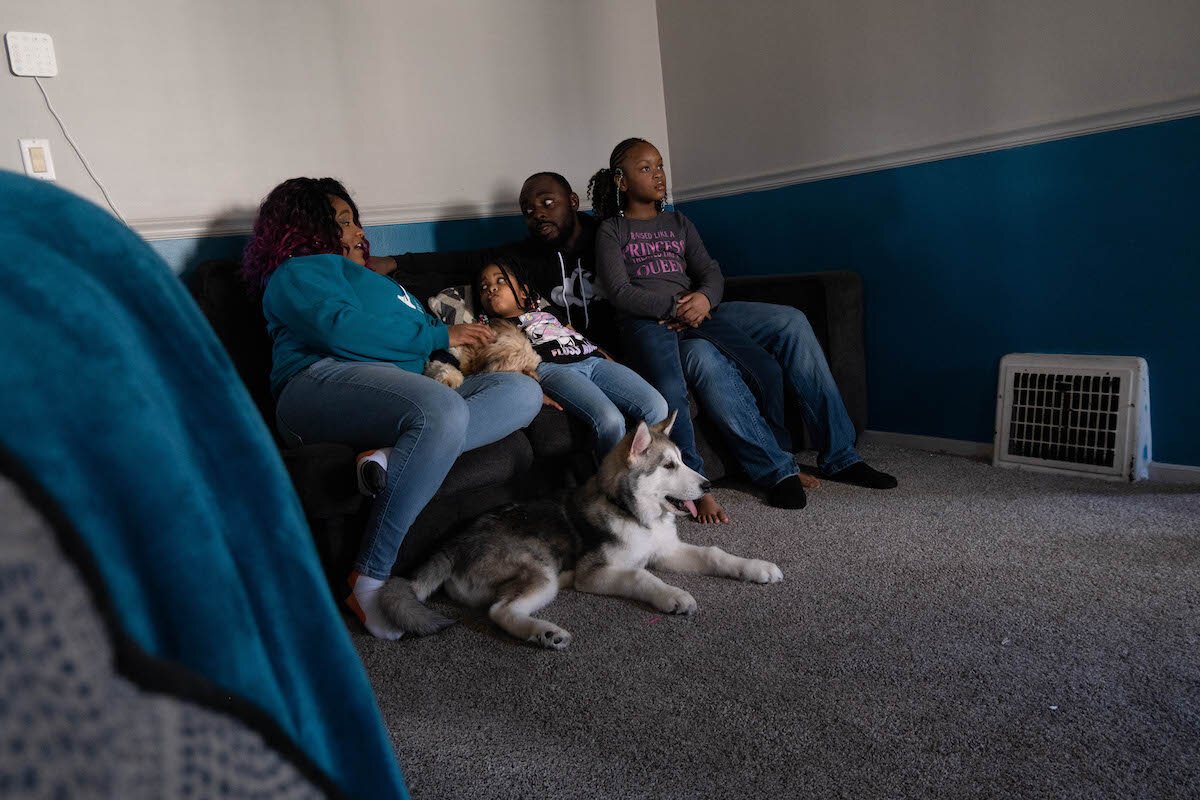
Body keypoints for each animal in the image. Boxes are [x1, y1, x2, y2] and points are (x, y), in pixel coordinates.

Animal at [379, 412, 782, 652]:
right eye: (668, 465)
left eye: (682, 461)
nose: (708, 484)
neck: (631, 512)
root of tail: (452, 544)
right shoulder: (595, 574)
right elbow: (642, 577)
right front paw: (673, 596)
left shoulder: (666, 551)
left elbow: (715, 554)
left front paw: (757, 568)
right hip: (541, 573)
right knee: (500, 611)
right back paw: (545, 632)